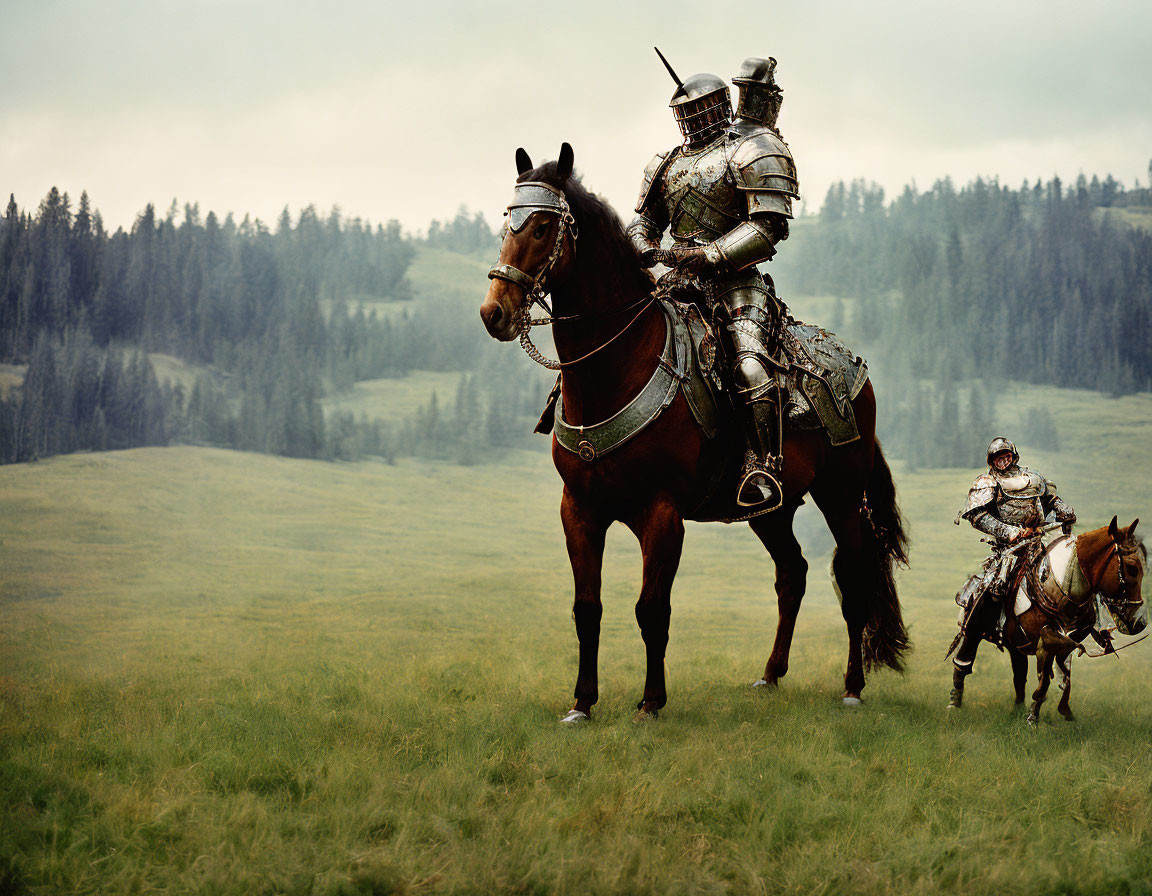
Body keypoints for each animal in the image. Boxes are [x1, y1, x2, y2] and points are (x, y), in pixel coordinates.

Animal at [476, 145, 907, 718]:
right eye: (508, 220)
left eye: (544, 227)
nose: (494, 313)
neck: (618, 365)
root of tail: (857, 371)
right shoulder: (580, 510)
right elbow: (587, 609)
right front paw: (582, 703)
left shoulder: (661, 514)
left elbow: (651, 609)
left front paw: (651, 702)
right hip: (770, 509)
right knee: (791, 573)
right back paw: (770, 675)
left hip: (840, 493)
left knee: (855, 576)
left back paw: (852, 687)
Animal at [999, 515, 1142, 718]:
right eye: (1131, 568)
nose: (1139, 623)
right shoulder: (1041, 641)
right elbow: (1044, 676)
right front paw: (1034, 714)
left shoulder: (1063, 640)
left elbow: (1059, 670)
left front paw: (1053, 708)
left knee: (1020, 674)